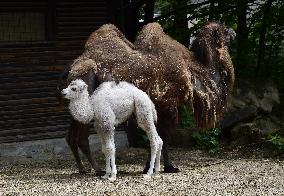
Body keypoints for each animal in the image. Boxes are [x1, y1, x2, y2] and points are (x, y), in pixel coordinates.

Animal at [57, 21, 235, 174]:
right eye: (224, 30)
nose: (233, 32)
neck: (191, 70)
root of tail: (72, 66)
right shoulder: (168, 105)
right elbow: (164, 136)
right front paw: (168, 167)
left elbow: (157, 135)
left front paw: (151, 167)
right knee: (81, 138)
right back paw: (99, 170)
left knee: (71, 136)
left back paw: (83, 169)